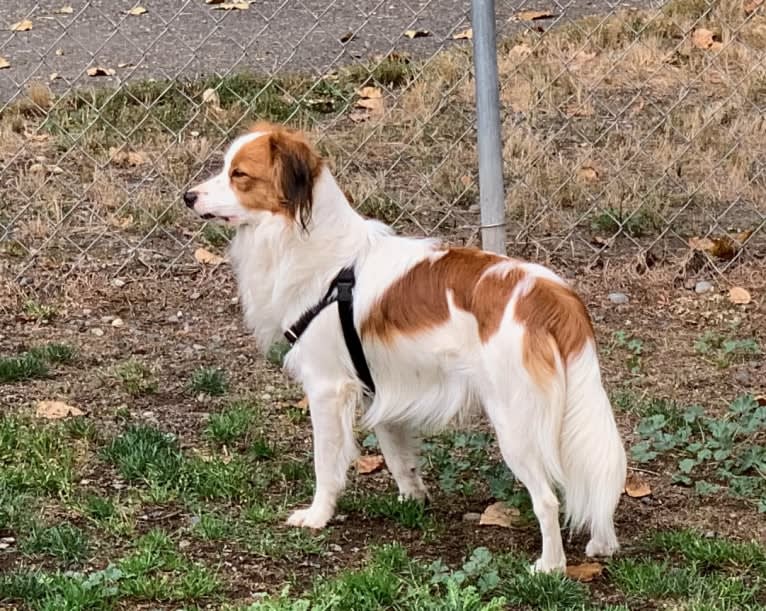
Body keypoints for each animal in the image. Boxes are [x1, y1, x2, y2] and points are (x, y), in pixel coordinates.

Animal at [186, 120, 632, 572]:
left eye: (238, 175)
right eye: (224, 167)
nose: (188, 196)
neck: (319, 251)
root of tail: (551, 294)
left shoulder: (327, 388)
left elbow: (325, 464)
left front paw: (317, 515)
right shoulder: (380, 388)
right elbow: (397, 455)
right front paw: (413, 499)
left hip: (514, 423)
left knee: (547, 498)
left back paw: (550, 566)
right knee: (592, 472)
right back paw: (602, 543)